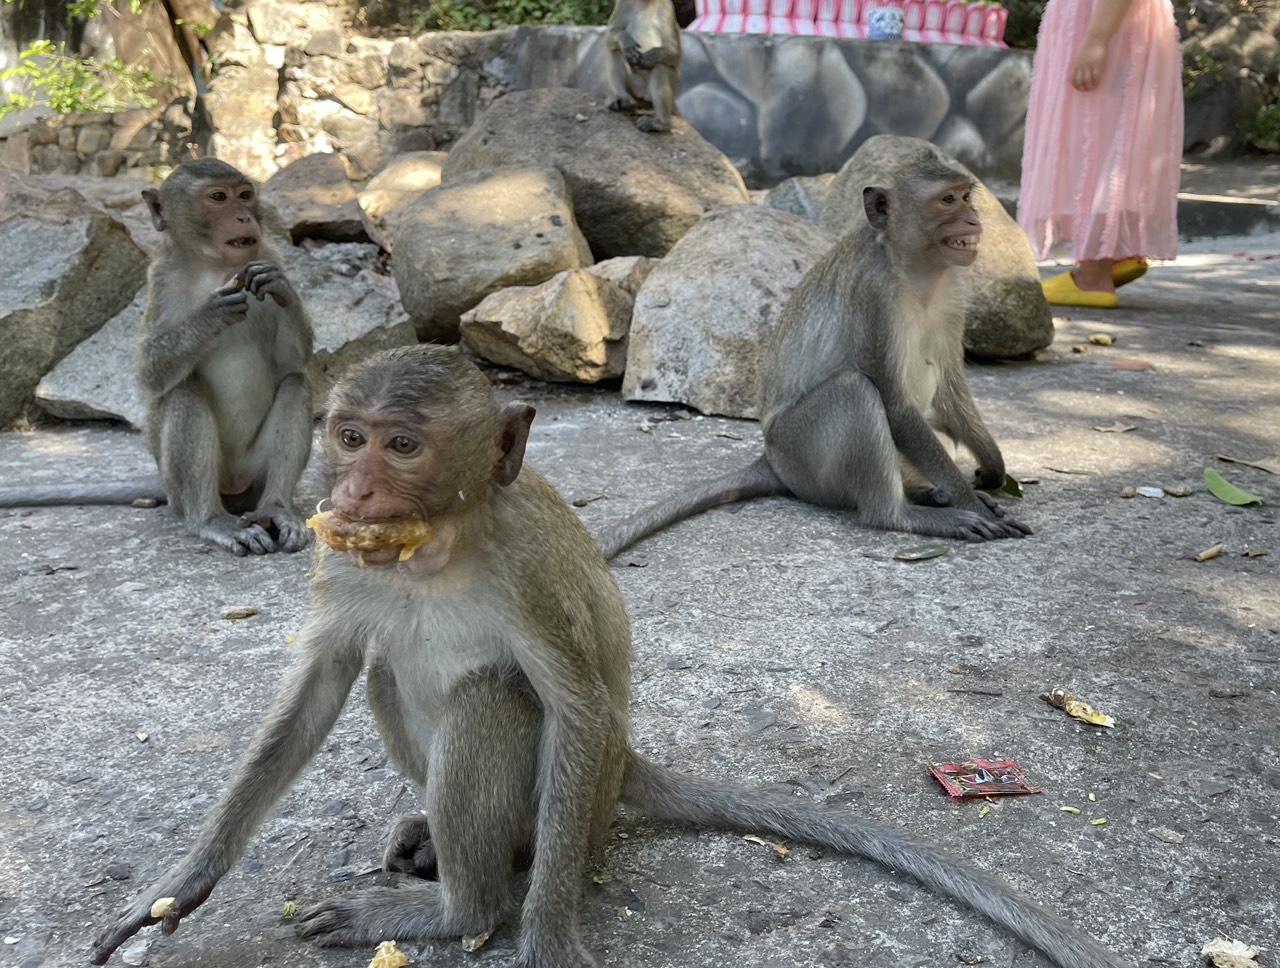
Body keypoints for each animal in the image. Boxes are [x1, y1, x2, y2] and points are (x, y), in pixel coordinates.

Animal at [92, 345, 1121, 968]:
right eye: (349, 438)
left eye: (403, 445)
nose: (352, 490)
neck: (438, 550)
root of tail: (632, 768)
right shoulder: (340, 561)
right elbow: (316, 688)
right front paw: (179, 889)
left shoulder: (526, 573)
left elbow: (573, 704)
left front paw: (545, 941)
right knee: (387, 670)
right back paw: (428, 844)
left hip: (576, 815)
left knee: (496, 701)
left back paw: (460, 910)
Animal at [599, 141, 1029, 560]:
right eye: (947, 200)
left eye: (966, 197)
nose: (973, 220)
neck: (912, 269)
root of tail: (772, 460)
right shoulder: (871, 295)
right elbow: (895, 404)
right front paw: (969, 502)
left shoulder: (954, 292)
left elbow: (950, 385)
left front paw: (992, 469)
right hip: (801, 451)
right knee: (854, 390)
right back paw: (902, 514)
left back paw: (926, 493)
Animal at [606, 0, 686, 132]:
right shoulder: (622, 3)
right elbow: (610, 35)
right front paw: (625, 40)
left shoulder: (667, 8)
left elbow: (675, 51)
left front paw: (651, 56)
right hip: (634, 88)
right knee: (616, 50)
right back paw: (623, 99)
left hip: (671, 86)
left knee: (660, 68)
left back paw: (661, 123)